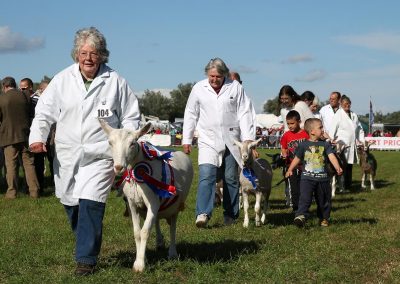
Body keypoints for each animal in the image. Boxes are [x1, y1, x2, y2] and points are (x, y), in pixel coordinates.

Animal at [100, 120, 194, 272]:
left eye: (132, 143)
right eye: (110, 142)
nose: (118, 168)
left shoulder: (153, 202)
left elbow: (144, 232)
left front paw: (139, 265)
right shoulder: (132, 204)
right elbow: (137, 232)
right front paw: (141, 258)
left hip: (176, 203)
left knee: (173, 226)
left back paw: (172, 253)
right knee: (156, 220)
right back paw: (159, 242)